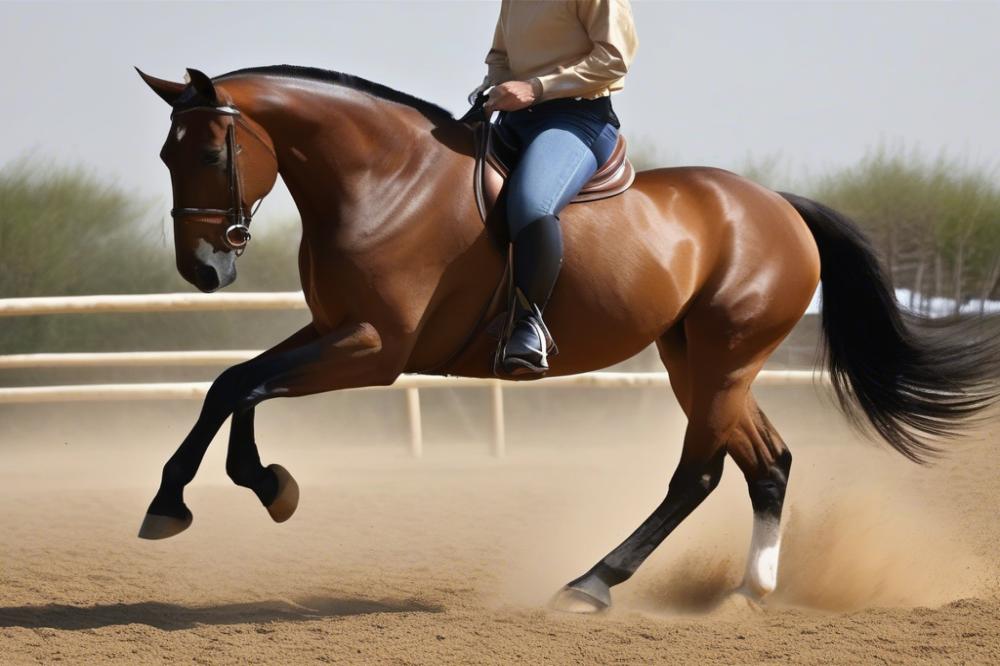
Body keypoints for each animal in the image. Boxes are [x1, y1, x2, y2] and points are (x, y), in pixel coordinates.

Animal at [135, 67, 1000, 612]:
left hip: (725, 360)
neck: (384, 181)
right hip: (696, 361)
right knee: (768, 462)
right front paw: (200, 495)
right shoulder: (334, 330)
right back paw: (748, 592)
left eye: (208, 151)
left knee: (699, 475)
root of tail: (778, 206)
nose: (203, 268)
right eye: (165, 153)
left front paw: (244, 486)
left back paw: (592, 584)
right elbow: (231, 382)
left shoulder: (376, 350)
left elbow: (248, 387)